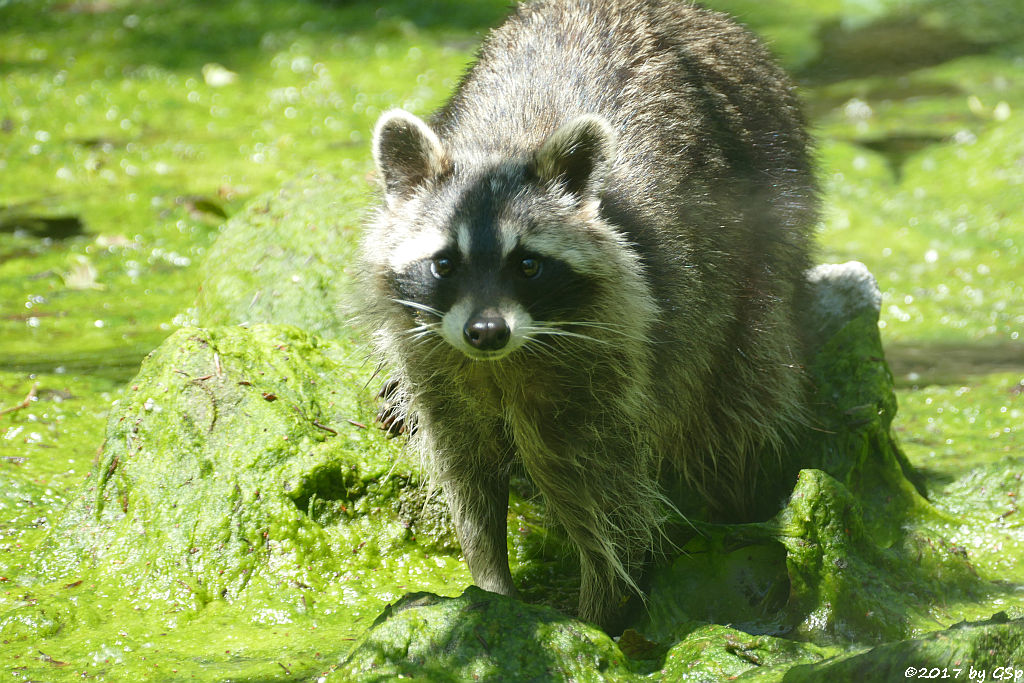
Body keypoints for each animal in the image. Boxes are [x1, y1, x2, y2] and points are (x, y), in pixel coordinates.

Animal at [358, 0, 815, 630]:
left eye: (528, 264)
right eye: (445, 263)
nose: (485, 332)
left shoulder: (608, 363)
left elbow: (604, 501)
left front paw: (597, 613)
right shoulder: (438, 365)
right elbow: (468, 476)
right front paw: (490, 582)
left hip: (765, 251)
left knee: (744, 403)